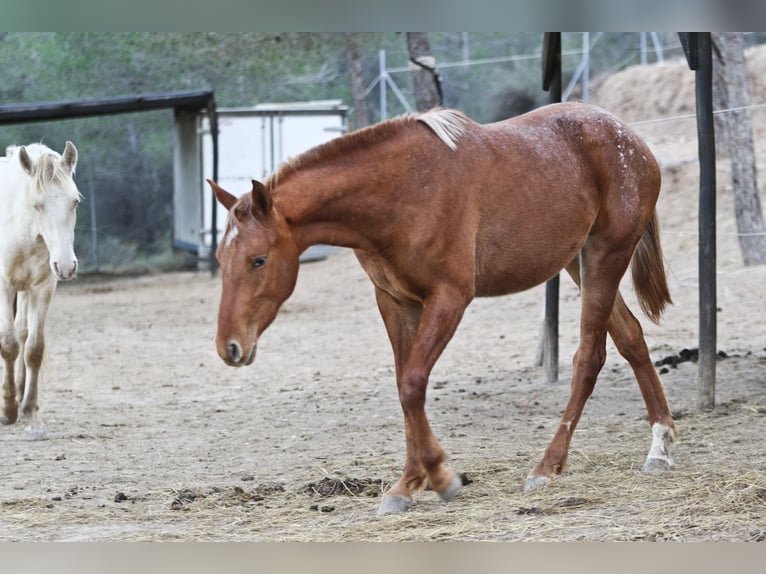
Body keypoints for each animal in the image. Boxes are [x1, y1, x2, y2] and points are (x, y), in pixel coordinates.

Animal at [0, 142, 81, 438]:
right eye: (38, 204)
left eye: (75, 201)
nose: (67, 265)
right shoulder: (4, 286)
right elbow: (8, 344)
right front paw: (8, 408)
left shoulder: (44, 287)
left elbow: (33, 348)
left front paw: (29, 408)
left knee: (23, 332)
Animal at [210, 102, 680, 516]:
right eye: (220, 258)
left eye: (258, 260)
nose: (229, 347)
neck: (401, 191)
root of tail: (631, 139)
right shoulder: (395, 302)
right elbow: (404, 389)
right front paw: (407, 484)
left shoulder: (449, 297)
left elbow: (413, 384)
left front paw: (440, 477)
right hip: (578, 263)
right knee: (631, 338)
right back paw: (660, 448)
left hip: (604, 258)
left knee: (589, 357)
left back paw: (547, 466)